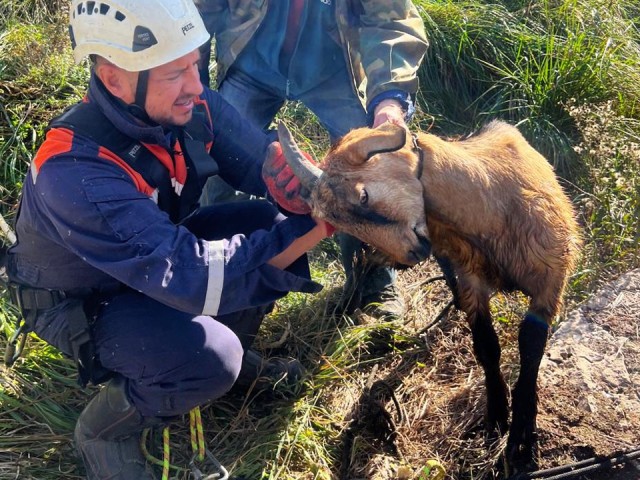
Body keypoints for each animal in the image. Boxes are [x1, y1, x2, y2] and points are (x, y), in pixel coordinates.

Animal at [278, 120, 584, 472]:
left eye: (363, 195)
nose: (411, 252)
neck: (489, 200)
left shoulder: (550, 282)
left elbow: (531, 349)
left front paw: (521, 440)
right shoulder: (471, 281)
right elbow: (486, 346)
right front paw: (495, 418)